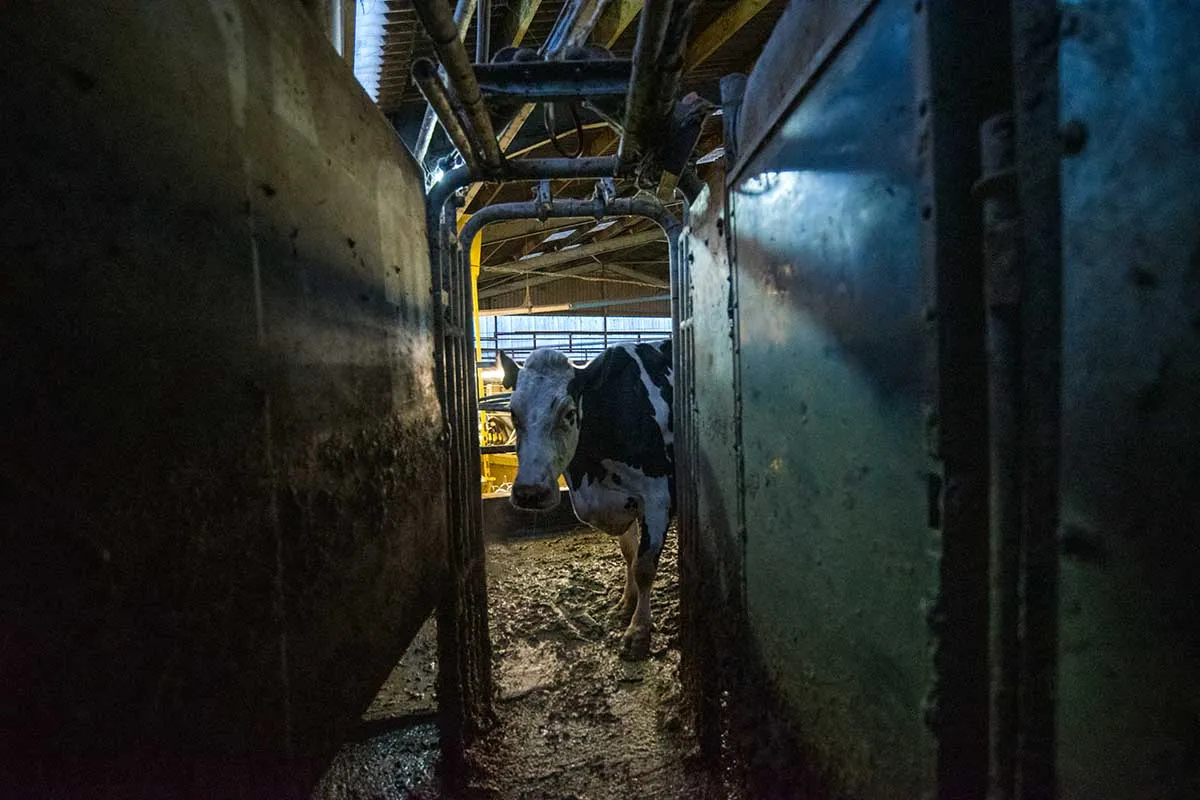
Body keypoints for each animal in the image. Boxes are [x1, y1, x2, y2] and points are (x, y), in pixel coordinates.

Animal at [492, 340, 672, 662]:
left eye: (569, 413)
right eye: (513, 413)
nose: (530, 492)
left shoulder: (657, 497)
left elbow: (644, 566)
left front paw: (638, 633)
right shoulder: (624, 501)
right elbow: (629, 554)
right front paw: (627, 603)